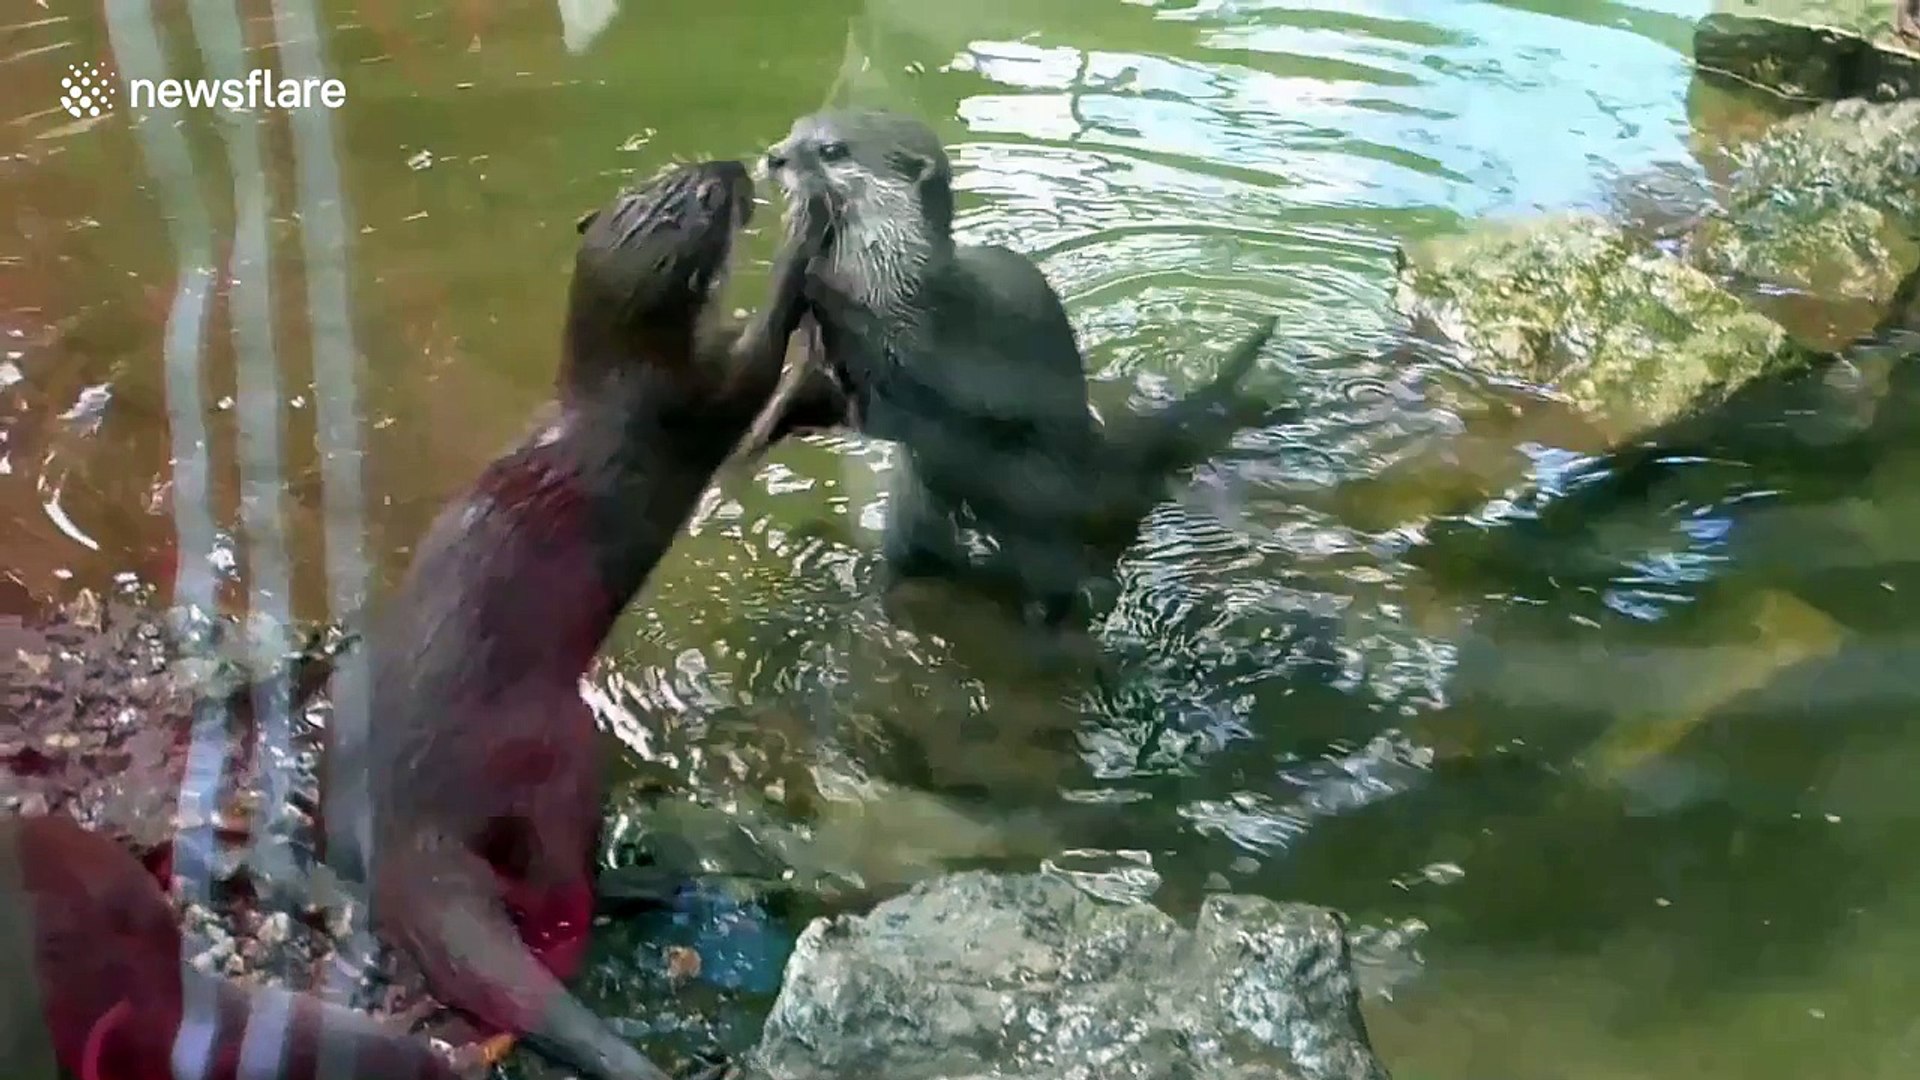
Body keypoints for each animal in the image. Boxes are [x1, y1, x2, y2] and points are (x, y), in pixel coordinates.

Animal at [316, 161, 832, 1080]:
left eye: (683, 169)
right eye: (709, 196)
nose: (737, 167)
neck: (611, 386)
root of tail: (396, 823)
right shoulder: (693, 398)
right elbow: (756, 356)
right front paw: (803, 239)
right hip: (559, 747)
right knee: (563, 883)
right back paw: (654, 882)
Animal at [749, 108, 1278, 626]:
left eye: (832, 150)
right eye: (796, 128)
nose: (774, 157)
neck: (898, 288)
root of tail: (1098, 453)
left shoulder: (939, 354)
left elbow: (904, 406)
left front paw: (815, 283)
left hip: (1039, 506)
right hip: (911, 509)